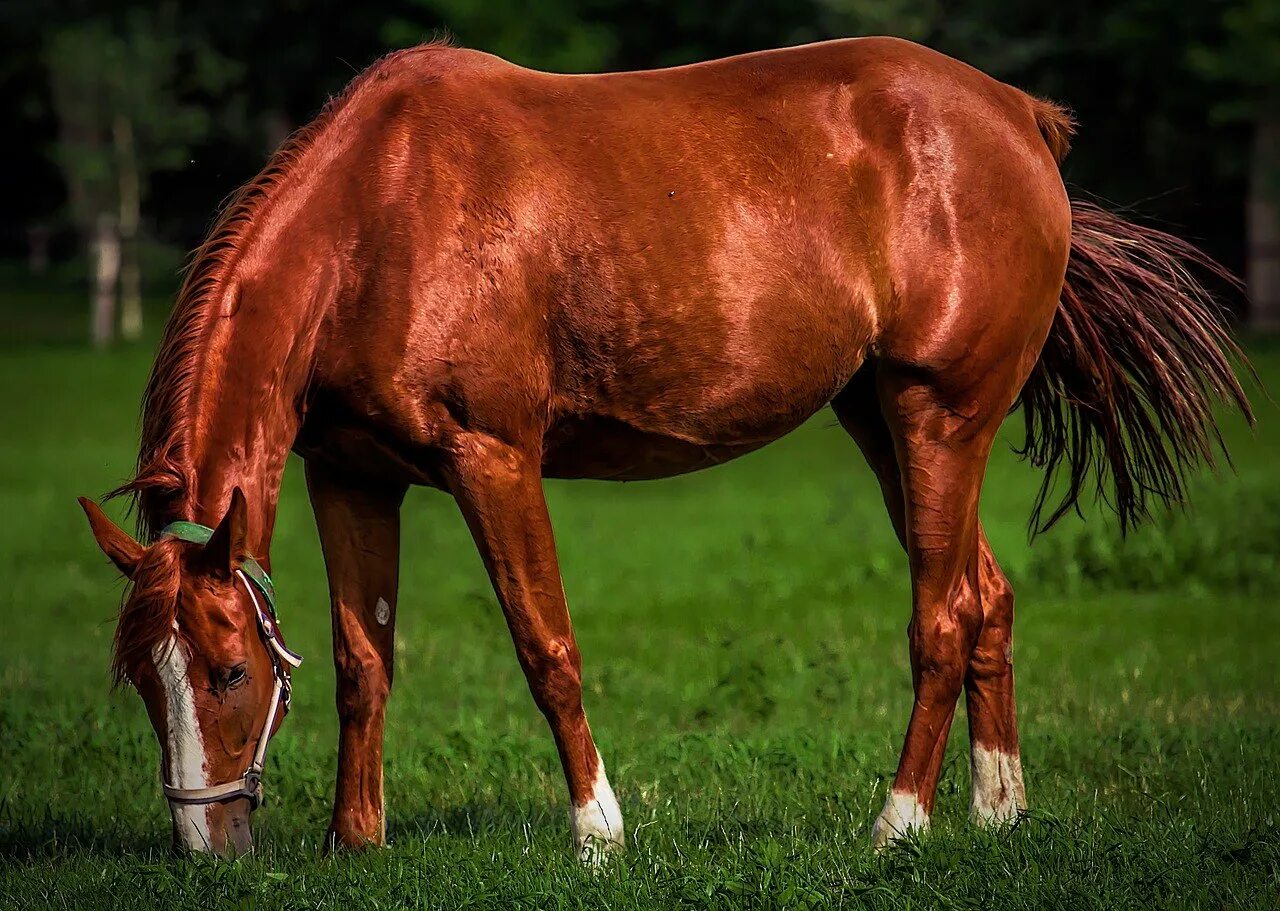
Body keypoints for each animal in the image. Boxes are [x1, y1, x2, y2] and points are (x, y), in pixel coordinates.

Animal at [72, 35, 1249, 859]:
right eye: (143, 678)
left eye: (227, 670)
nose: (206, 844)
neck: (379, 216)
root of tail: (1017, 116)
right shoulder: (352, 474)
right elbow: (366, 659)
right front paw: (353, 841)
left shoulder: (492, 460)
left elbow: (545, 646)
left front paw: (598, 834)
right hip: (881, 421)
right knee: (987, 594)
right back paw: (997, 810)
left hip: (938, 419)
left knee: (943, 616)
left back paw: (898, 823)